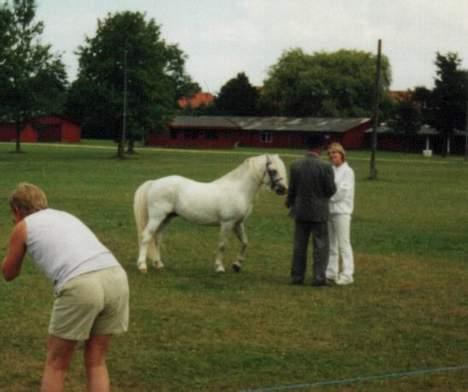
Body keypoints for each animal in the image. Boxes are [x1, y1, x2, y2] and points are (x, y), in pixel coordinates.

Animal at [133, 153, 288, 272]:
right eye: (273, 170)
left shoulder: (238, 223)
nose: (283, 189)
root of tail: (154, 182)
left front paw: (237, 265)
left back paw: (158, 264)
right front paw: (219, 267)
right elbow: (222, 245)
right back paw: (142, 266)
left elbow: (245, 242)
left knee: (157, 238)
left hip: (166, 218)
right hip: (156, 217)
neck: (239, 189)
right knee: (146, 237)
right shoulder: (227, 223)